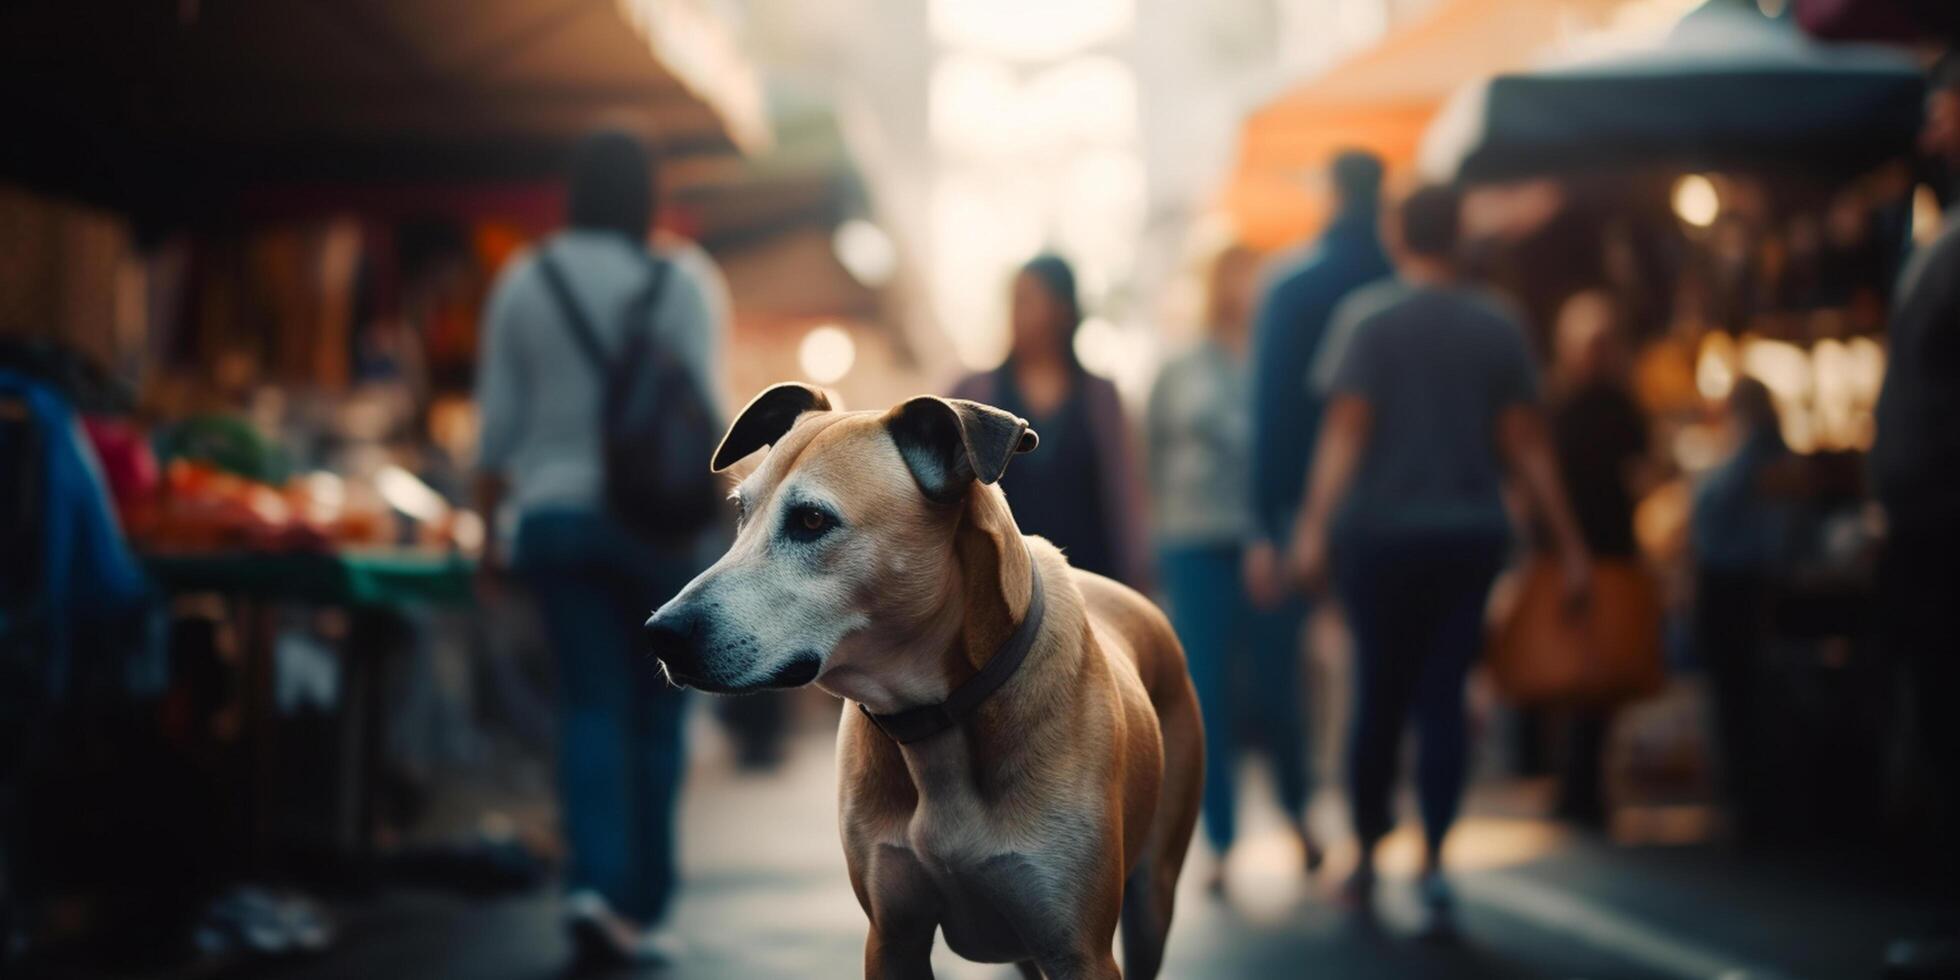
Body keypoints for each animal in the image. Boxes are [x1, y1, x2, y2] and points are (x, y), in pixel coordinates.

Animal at [646, 382, 1191, 980]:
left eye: (811, 521)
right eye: (740, 512)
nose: (661, 633)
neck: (938, 719)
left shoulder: (1079, 950)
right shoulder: (893, 937)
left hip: (1152, 899)